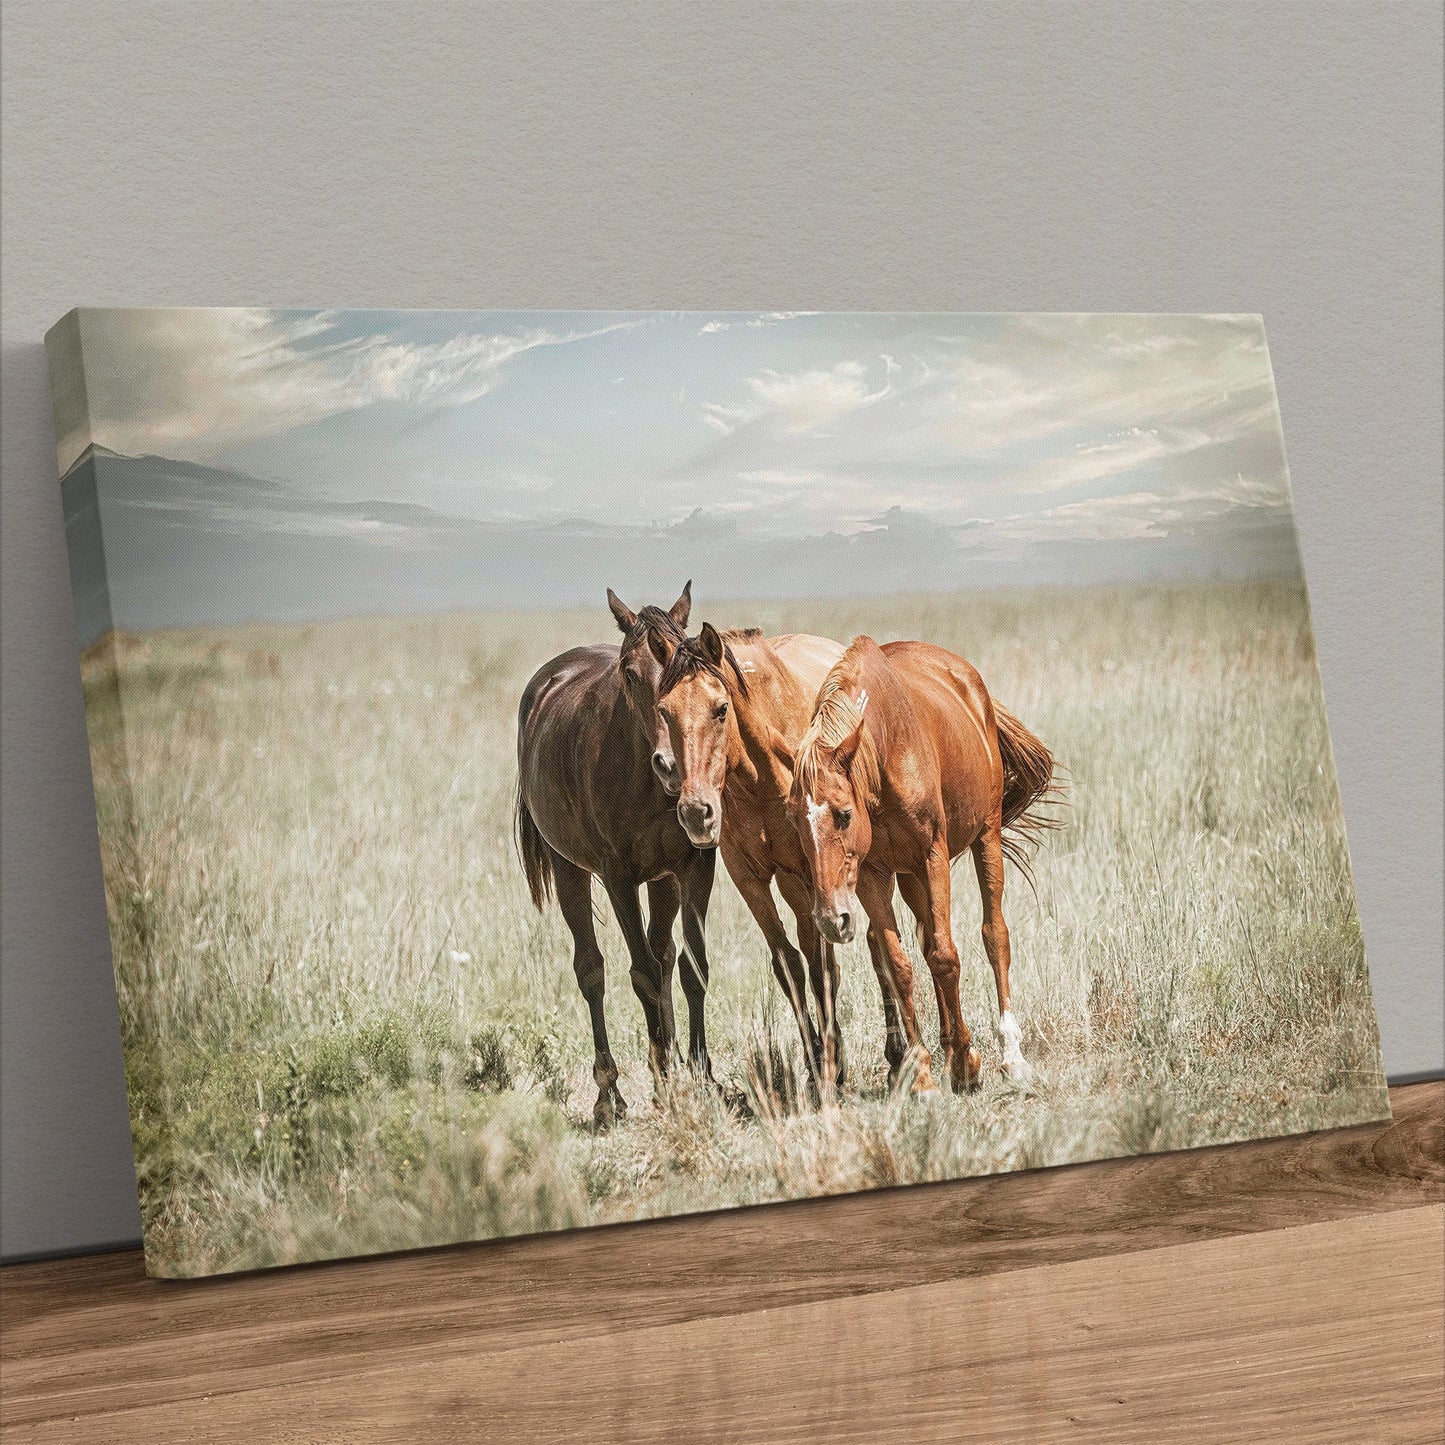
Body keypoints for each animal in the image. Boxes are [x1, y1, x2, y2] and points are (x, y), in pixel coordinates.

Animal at [514, 583, 716, 1125]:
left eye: (689, 671)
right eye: (629, 671)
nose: (671, 765)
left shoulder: (694, 865)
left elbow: (690, 965)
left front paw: (700, 1077)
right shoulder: (618, 877)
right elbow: (641, 973)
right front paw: (665, 1082)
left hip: (663, 881)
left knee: (664, 955)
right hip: (569, 870)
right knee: (592, 969)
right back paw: (609, 1094)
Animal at [650, 623, 847, 1090]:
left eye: (721, 708)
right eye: (664, 710)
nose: (695, 812)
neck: (761, 777)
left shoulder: (808, 873)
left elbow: (820, 965)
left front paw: (831, 1066)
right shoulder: (749, 878)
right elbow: (788, 965)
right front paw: (817, 1060)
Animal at [787, 636, 1058, 1092]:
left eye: (843, 814)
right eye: (793, 820)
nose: (829, 920)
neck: (885, 755)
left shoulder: (934, 856)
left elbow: (947, 956)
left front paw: (965, 1063)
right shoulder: (873, 875)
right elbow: (901, 965)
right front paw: (925, 1074)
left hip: (986, 835)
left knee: (994, 936)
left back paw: (1010, 1055)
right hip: (910, 877)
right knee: (927, 941)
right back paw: (950, 1049)